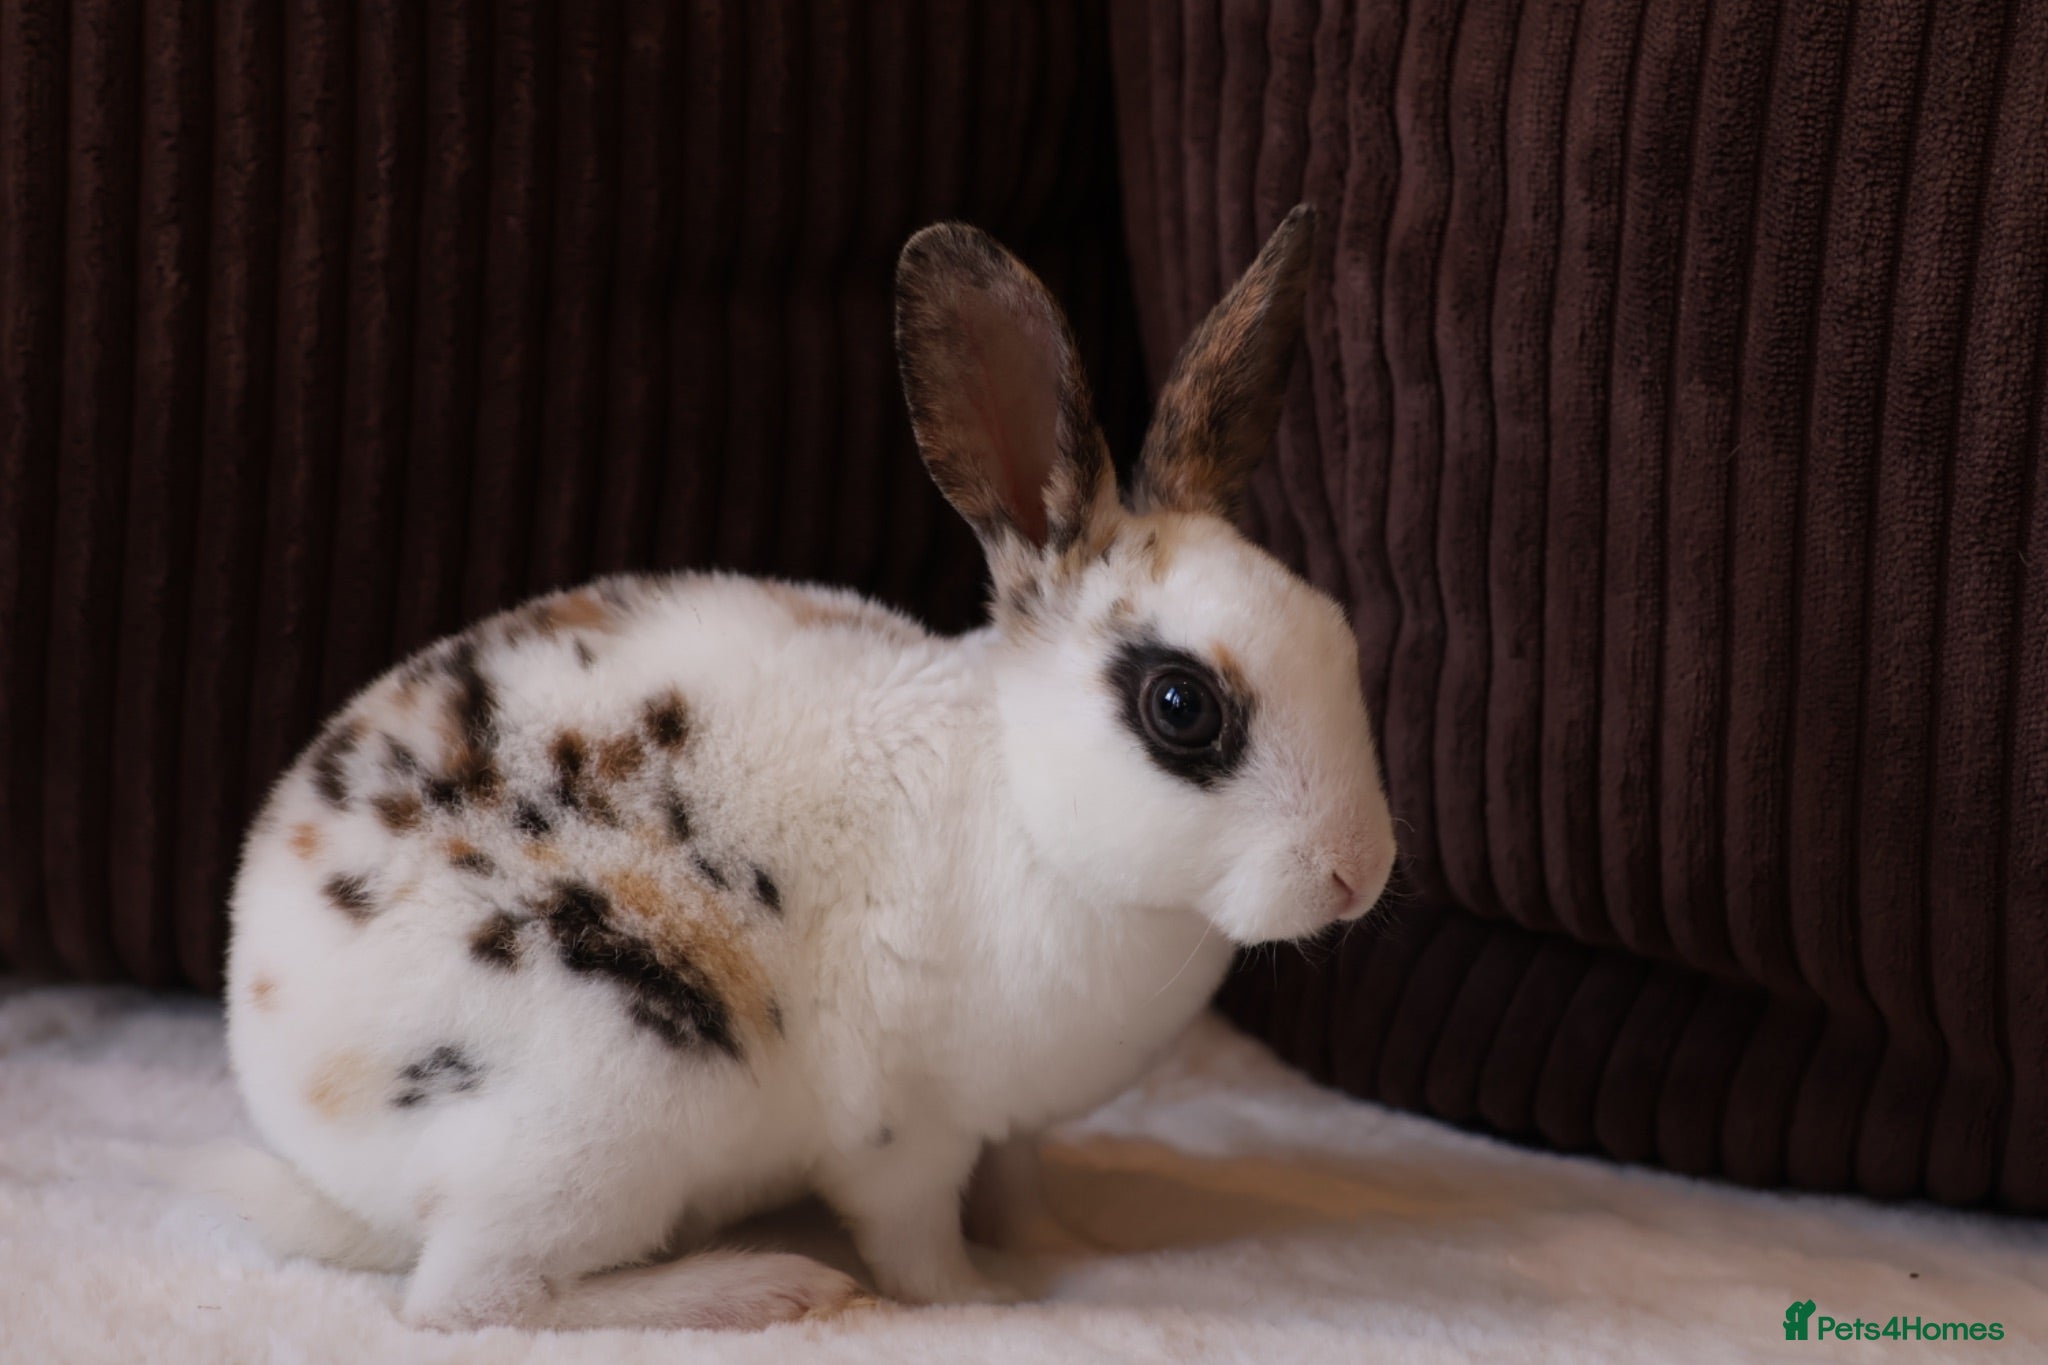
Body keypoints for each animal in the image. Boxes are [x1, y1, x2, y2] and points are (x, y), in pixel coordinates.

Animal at [215, 203, 1396, 1333]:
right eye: (1181, 707)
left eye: (1340, 634)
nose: (1360, 871)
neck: (1026, 807)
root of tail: (281, 1074)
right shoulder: (902, 1130)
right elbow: (917, 1243)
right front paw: (988, 1299)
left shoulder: (1010, 1124)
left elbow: (1020, 1189)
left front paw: (1061, 1245)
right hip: (604, 1102)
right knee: (474, 1300)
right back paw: (764, 1289)